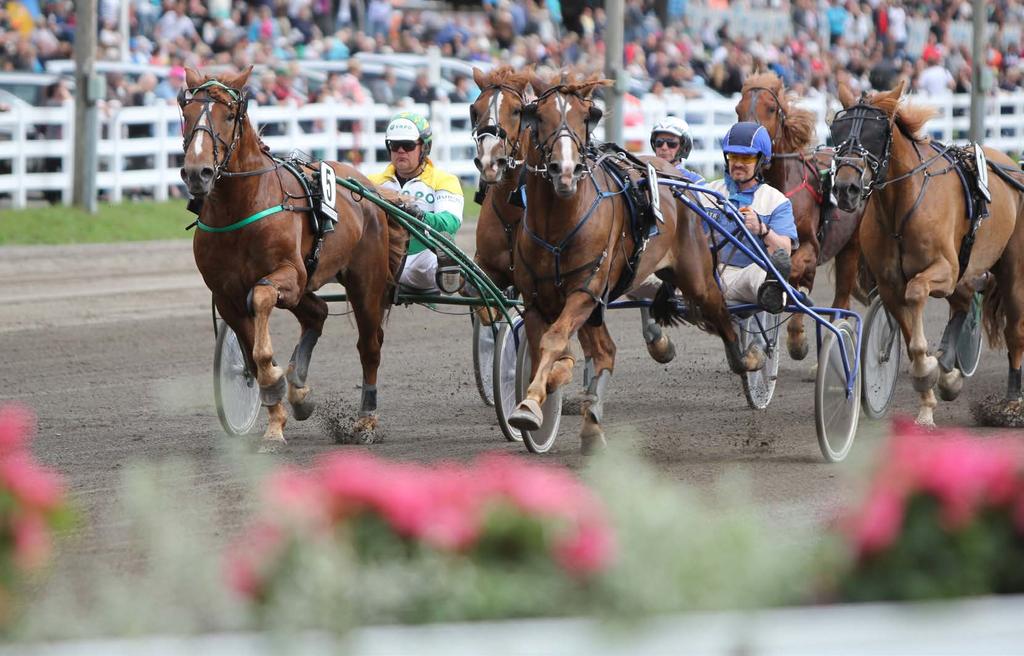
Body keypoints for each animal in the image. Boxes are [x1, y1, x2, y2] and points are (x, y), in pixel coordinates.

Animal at [178, 67, 405, 450]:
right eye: (186, 112)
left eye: (229, 115)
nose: (198, 172)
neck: (241, 208)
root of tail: (368, 187)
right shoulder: (226, 296)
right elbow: (252, 355)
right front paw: (275, 412)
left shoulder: (290, 275)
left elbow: (261, 300)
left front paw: (275, 386)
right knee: (318, 313)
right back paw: (299, 390)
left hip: (365, 282)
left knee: (369, 346)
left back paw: (365, 421)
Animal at [507, 70, 765, 450]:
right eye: (538, 117)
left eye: (586, 117)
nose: (565, 170)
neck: (559, 221)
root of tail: (680, 180)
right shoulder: (537, 300)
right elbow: (550, 350)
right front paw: (547, 390)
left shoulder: (585, 292)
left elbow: (554, 342)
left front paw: (529, 404)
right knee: (605, 352)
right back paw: (591, 422)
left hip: (696, 277)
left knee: (720, 314)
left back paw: (750, 356)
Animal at [733, 72, 868, 360]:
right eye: (738, 108)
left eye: (771, 109)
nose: (745, 145)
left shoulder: (811, 246)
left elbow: (795, 273)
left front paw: (797, 338)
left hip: (850, 248)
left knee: (841, 299)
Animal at [827, 80, 1024, 425]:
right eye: (837, 131)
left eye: (876, 133)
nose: (845, 188)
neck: (900, 206)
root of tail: (1012, 165)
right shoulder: (891, 286)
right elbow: (910, 336)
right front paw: (930, 389)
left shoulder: (944, 269)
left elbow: (917, 291)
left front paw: (931, 372)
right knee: (961, 304)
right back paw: (949, 372)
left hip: (1010, 270)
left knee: (1014, 330)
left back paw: (1011, 402)